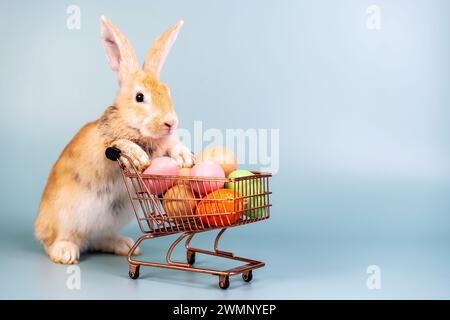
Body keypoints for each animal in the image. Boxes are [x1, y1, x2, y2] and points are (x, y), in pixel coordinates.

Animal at [32, 16, 192, 264]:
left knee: (98, 240)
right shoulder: (104, 151)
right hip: (64, 220)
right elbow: (119, 145)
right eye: (139, 97)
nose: (170, 122)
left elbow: (172, 145)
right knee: (54, 243)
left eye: (168, 92)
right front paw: (138, 156)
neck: (132, 126)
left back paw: (125, 246)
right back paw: (66, 253)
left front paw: (185, 157)